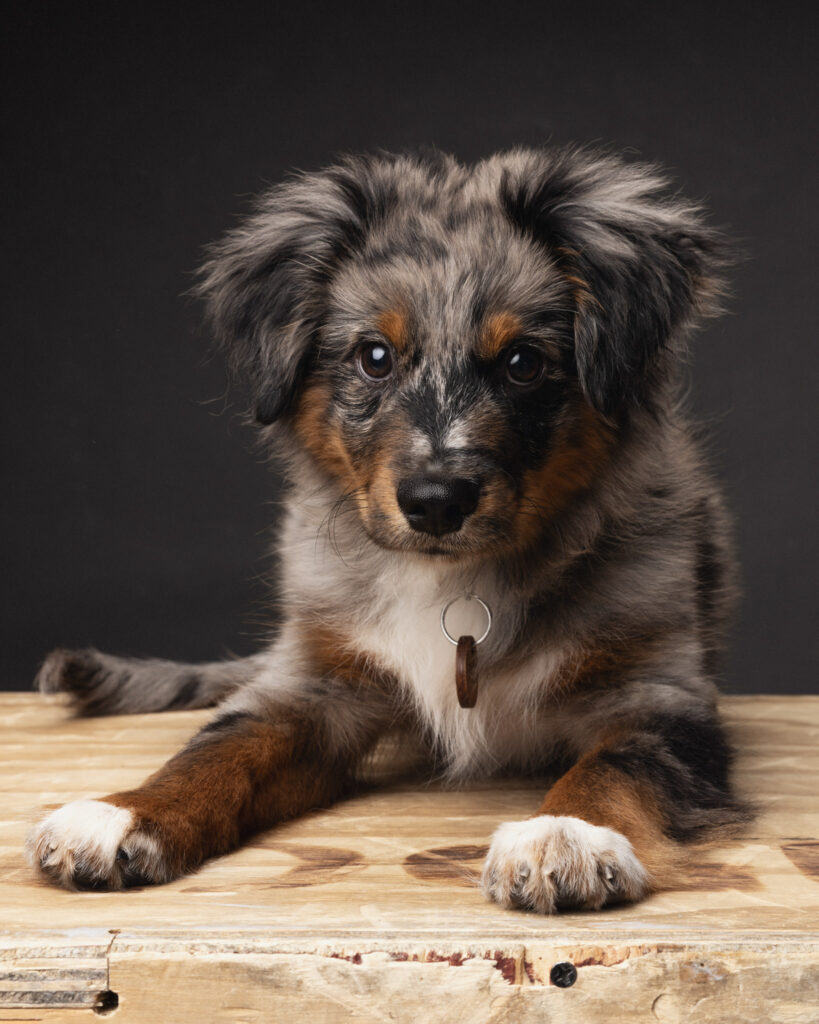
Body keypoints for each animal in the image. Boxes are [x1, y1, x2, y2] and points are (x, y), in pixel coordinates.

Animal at [30, 146, 749, 913]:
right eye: (373, 356)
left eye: (523, 363)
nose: (435, 503)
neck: (454, 582)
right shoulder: (314, 687)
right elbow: (223, 744)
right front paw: (126, 811)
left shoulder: (655, 694)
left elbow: (615, 766)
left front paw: (567, 833)